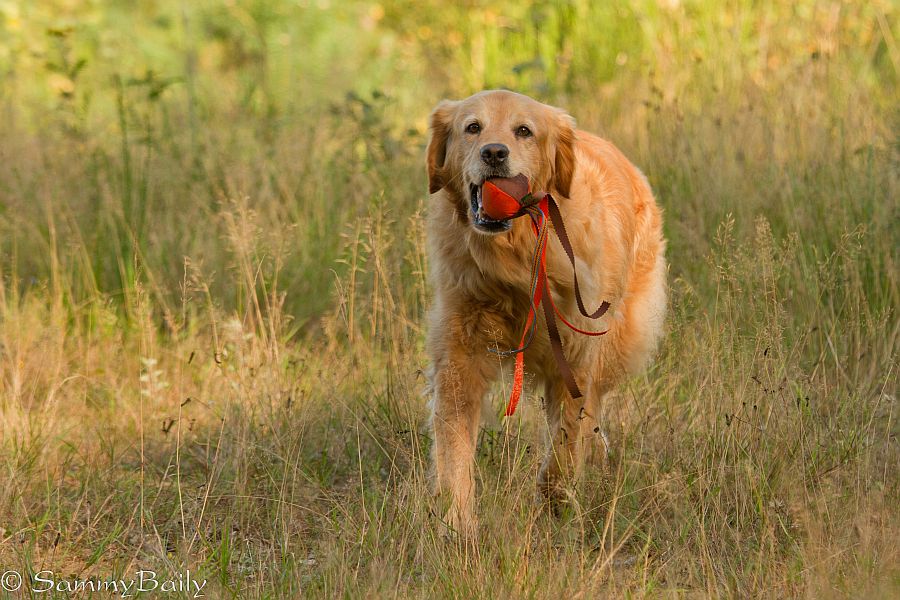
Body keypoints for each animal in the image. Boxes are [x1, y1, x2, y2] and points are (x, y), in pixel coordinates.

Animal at [426, 88, 664, 536]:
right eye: (472, 127)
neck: (514, 258)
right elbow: (453, 445)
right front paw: (457, 519)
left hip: (620, 339)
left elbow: (566, 441)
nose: (494, 153)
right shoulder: (459, 356)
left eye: (524, 131)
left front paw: (555, 503)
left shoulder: (575, 354)